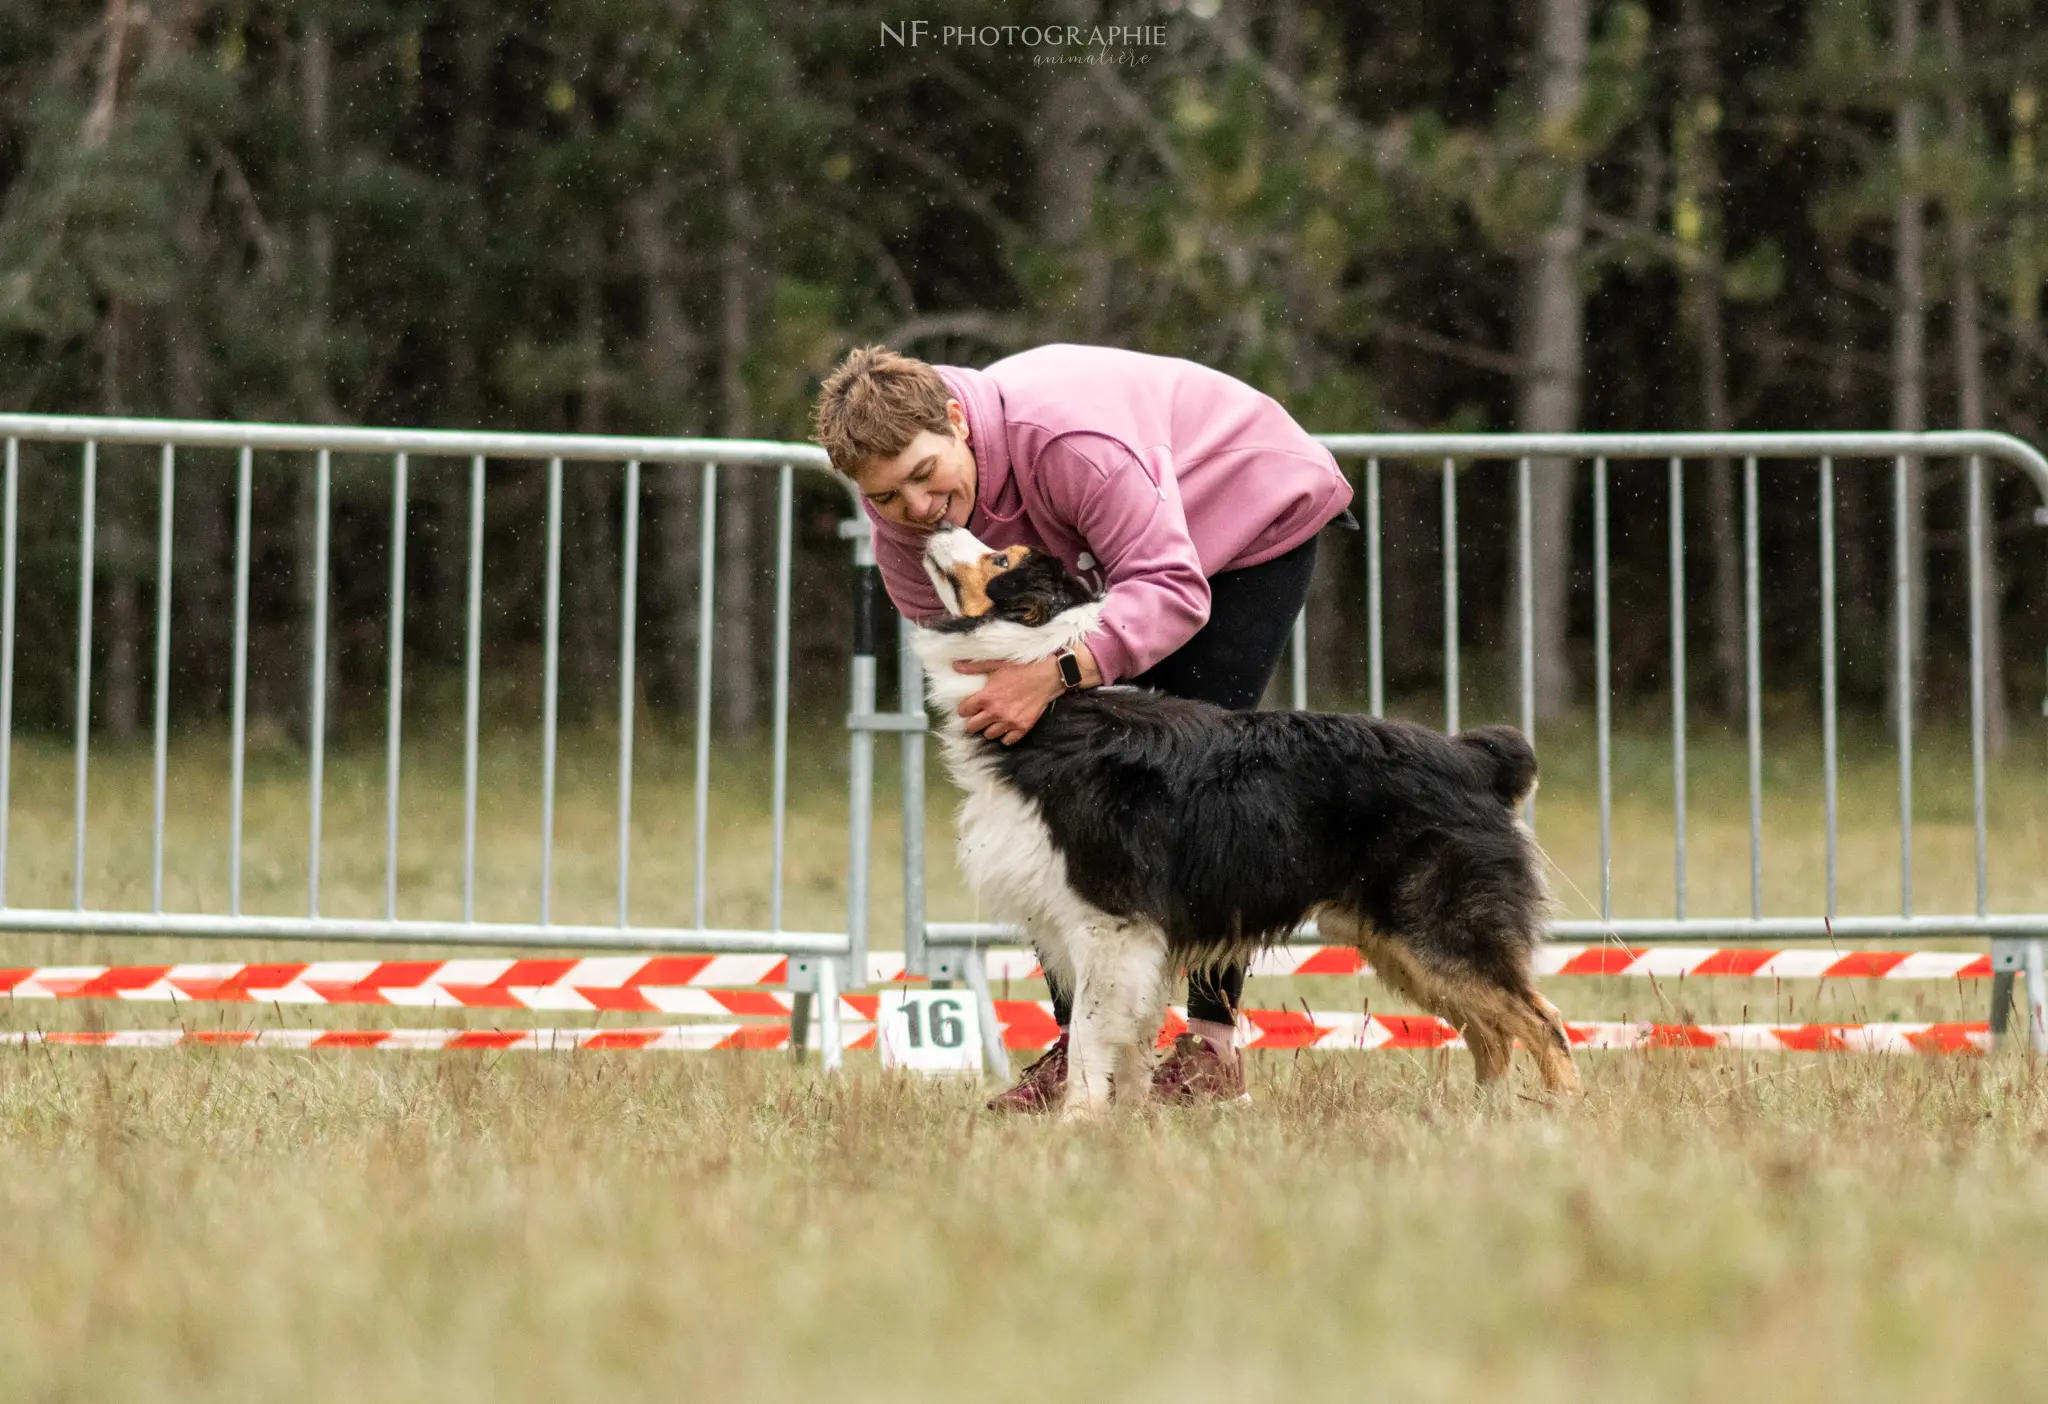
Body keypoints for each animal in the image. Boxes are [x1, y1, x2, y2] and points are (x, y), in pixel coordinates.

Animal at [917, 521, 1581, 1113]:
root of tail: (1474, 757)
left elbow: (1088, 1035)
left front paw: (1079, 1124)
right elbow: (1126, 1042)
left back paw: (1560, 1117)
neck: (1053, 703)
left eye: (1001, 559)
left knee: (1542, 1021)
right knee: (1492, 1033)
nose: (939, 524)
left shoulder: (1112, 923)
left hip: (1440, 928)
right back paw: (1483, 1119)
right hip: (1399, 942)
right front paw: (1126, 1124)